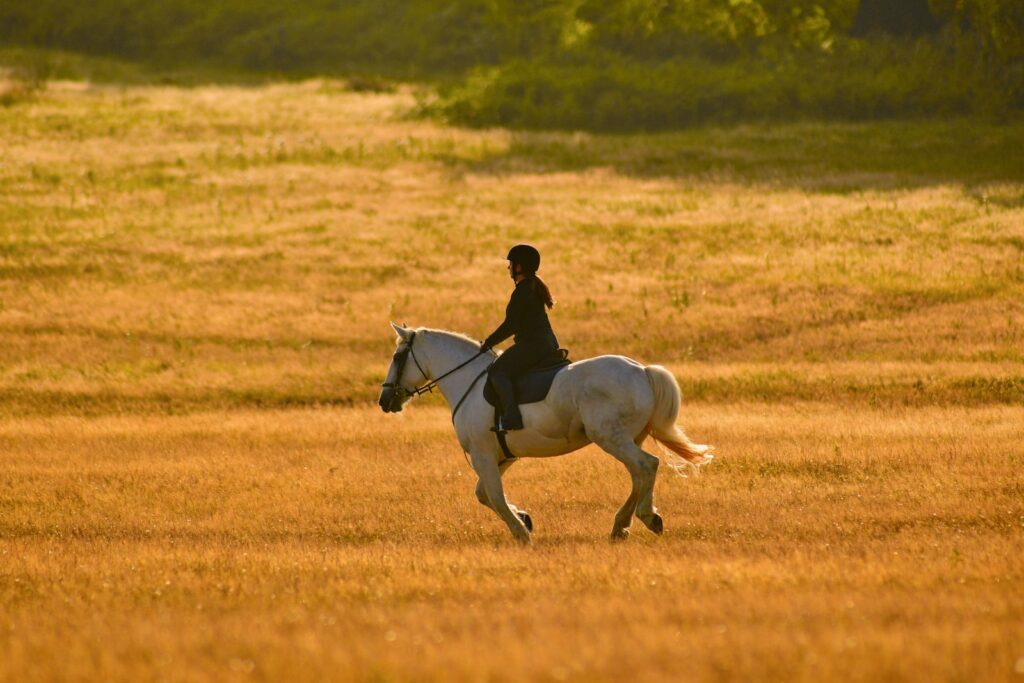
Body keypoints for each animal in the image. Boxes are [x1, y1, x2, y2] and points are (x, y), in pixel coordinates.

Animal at [378, 322, 713, 544]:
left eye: (396, 357)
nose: (385, 400)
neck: (466, 380)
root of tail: (642, 370)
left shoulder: (484, 454)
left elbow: (494, 497)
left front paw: (521, 532)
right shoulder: (500, 456)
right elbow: (484, 494)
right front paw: (525, 518)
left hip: (611, 438)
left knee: (646, 465)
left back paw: (646, 517)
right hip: (627, 438)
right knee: (638, 474)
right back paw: (621, 526)